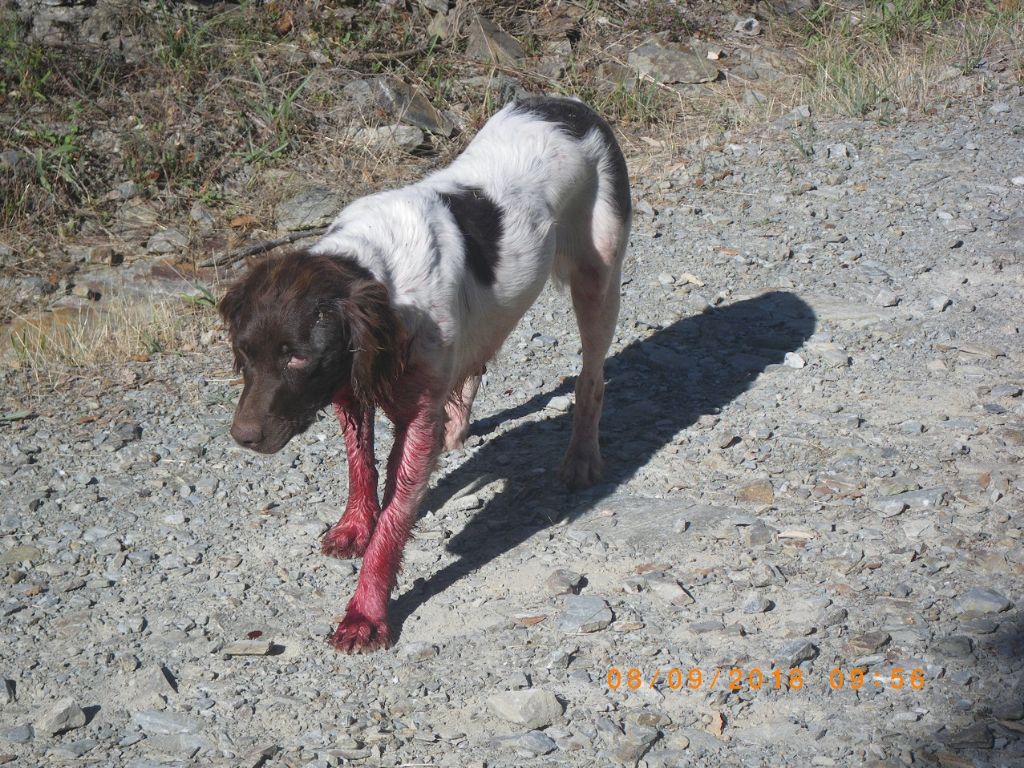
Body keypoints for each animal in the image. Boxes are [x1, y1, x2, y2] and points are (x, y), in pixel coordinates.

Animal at [220, 93, 626, 651]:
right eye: (244, 353)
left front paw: (365, 613)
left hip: (598, 276)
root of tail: (571, 105)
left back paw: (582, 456)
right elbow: (361, 466)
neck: (378, 275)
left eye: (296, 357)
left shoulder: (415, 419)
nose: (243, 437)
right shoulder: (353, 384)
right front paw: (355, 526)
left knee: (591, 377)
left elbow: (395, 515)